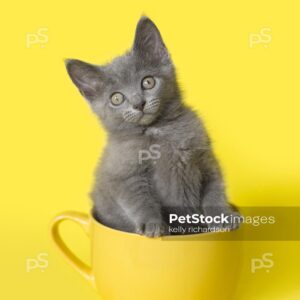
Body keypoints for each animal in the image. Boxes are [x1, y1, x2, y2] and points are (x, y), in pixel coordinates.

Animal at [65, 17, 239, 237]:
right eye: (116, 98)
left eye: (147, 82)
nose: (138, 103)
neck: (159, 130)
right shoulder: (124, 174)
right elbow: (140, 201)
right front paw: (152, 225)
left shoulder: (205, 159)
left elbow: (215, 190)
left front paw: (223, 218)